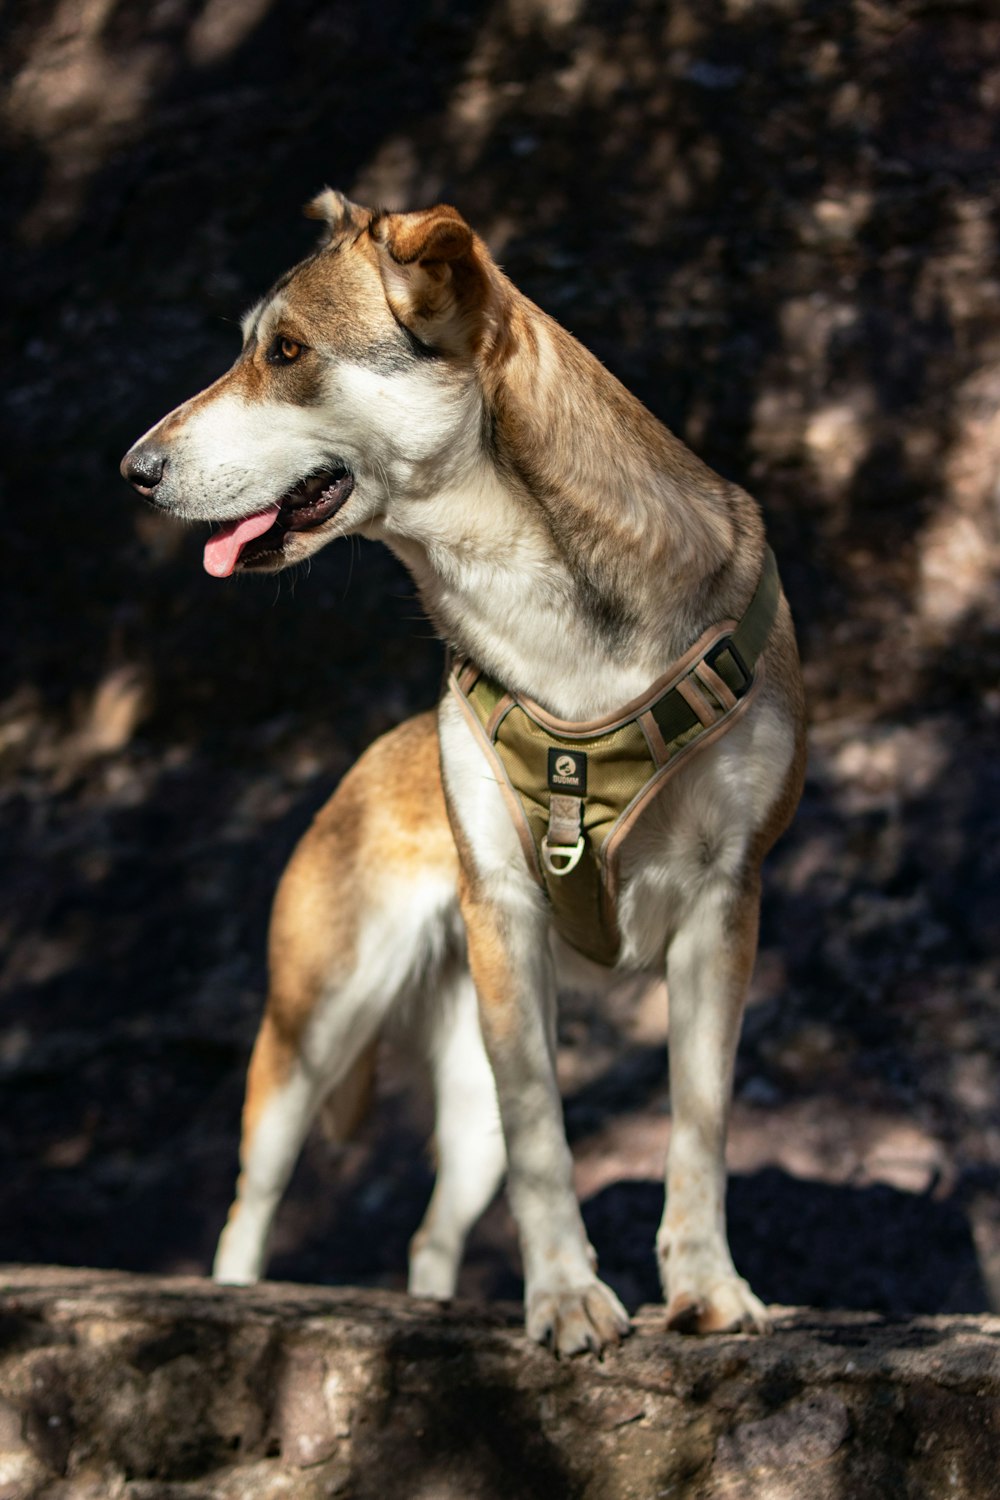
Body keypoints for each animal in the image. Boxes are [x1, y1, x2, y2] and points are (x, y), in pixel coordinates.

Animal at [121, 193, 809, 1356]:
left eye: (286, 352)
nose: (133, 468)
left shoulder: (725, 910)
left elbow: (699, 1128)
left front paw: (707, 1290)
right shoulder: (506, 919)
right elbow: (548, 1145)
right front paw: (567, 1301)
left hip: (457, 1077)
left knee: (429, 1235)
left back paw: (434, 1312)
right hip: (314, 1030)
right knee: (249, 1204)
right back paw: (235, 1305)